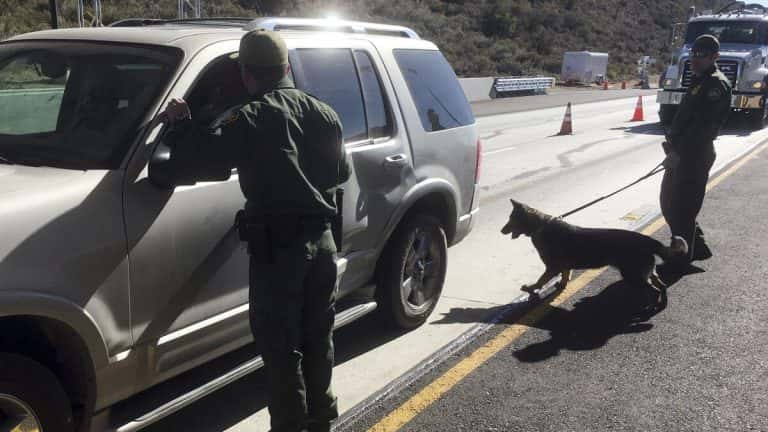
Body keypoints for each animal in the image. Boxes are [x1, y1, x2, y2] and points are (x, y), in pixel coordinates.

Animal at [500, 200, 688, 306]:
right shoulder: (563, 266)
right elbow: (565, 276)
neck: (541, 225)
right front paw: (561, 285)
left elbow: (540, 280)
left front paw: (532, 288)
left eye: (511, 219)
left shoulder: (552, 267)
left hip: (632, 275)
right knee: (661, 285)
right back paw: (661, 302)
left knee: (653, 291)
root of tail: (647, 240)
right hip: (646, 272)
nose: (501, 231)